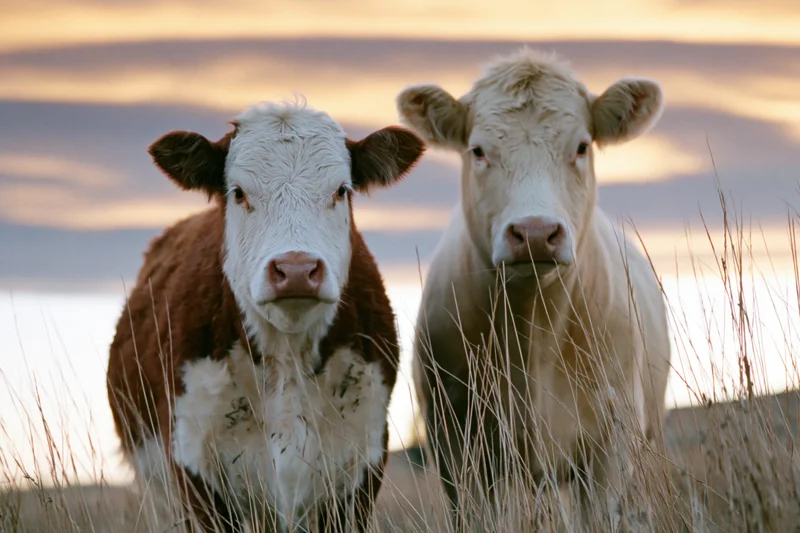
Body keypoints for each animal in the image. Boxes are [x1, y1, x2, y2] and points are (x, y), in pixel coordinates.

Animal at [106, 101, 425, 533]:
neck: (287, 357)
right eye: (238, 192)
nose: (296, 269)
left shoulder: (362, 463)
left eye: (341, 190)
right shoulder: (194, 471)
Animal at [396, 48, 672, 530]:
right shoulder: (457, 448)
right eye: (478, 150)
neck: (532, 330)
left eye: (581, 146)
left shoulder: (611, 443)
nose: (536, 232)